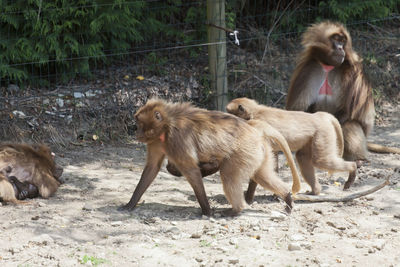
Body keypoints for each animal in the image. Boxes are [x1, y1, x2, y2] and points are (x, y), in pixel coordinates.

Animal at [120, 99, 302, 217]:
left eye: (139, 124)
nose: (136, 134)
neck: (167, 124)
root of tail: (255, 131)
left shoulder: (178, 139)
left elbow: (191, 171)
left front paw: (207, 211)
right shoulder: (156, 141)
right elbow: (152, 168)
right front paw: (130, 204)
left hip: (245, 151)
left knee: (229, 176)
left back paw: (235, 210)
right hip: (259, 154)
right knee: (261, 175)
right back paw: (286, 197)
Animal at [227, 97, 358, 200]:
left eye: (230, 113)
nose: (227, 118)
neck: (255, 112)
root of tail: (319, 116)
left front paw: (248, 198)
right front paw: (278, 194)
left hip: (322, 132)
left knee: (320, 161)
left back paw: (353, 168)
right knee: (302, 157)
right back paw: (315, 191)